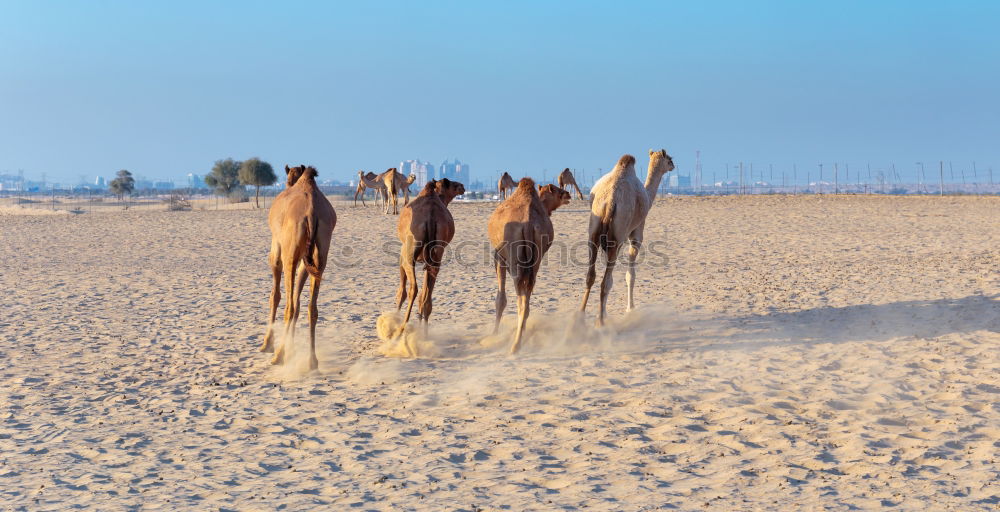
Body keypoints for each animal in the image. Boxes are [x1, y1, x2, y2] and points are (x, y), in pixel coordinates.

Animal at [262, 164, 340, 368]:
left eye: (288, 179)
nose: (287, 183)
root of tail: (311, 214)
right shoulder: (307, 260)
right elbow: (298, 302)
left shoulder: (277, 247)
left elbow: (275, 295)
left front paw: (267, 344)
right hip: (321, 252)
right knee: (311, 308)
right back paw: (311, 361)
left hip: (290, 252)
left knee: (288, 305)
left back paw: (279, 356)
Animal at [392, 178, 466, 346]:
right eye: (453, 185)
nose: (462, 186)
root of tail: (431, 218)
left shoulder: (402, 254)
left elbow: (401, 292)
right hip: (437, 254)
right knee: (426, 297)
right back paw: (423, 335)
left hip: (410, 252)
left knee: (413, 289)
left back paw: (400, 331)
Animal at [490, 179, 572, 352]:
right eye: (556, 190)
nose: (568, 194)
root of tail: (528, 224)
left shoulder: (498, 257)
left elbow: (500, 299)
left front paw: (494, 333)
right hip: (536, 257)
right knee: (527, 296)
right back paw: (521, 338)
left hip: (514, 257)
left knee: (520, 298)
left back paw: (515, 345)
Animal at [580, 151, 672, 328]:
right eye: (669, 159)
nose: (673, 165)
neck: (648, 197)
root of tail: (610, 201)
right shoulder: (637, 233)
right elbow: (631, 275)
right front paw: (630, 309)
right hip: (618, 236)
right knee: (606, 281)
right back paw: (600, 322)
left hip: (593, 231)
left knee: (591, 276)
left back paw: (579, 317)